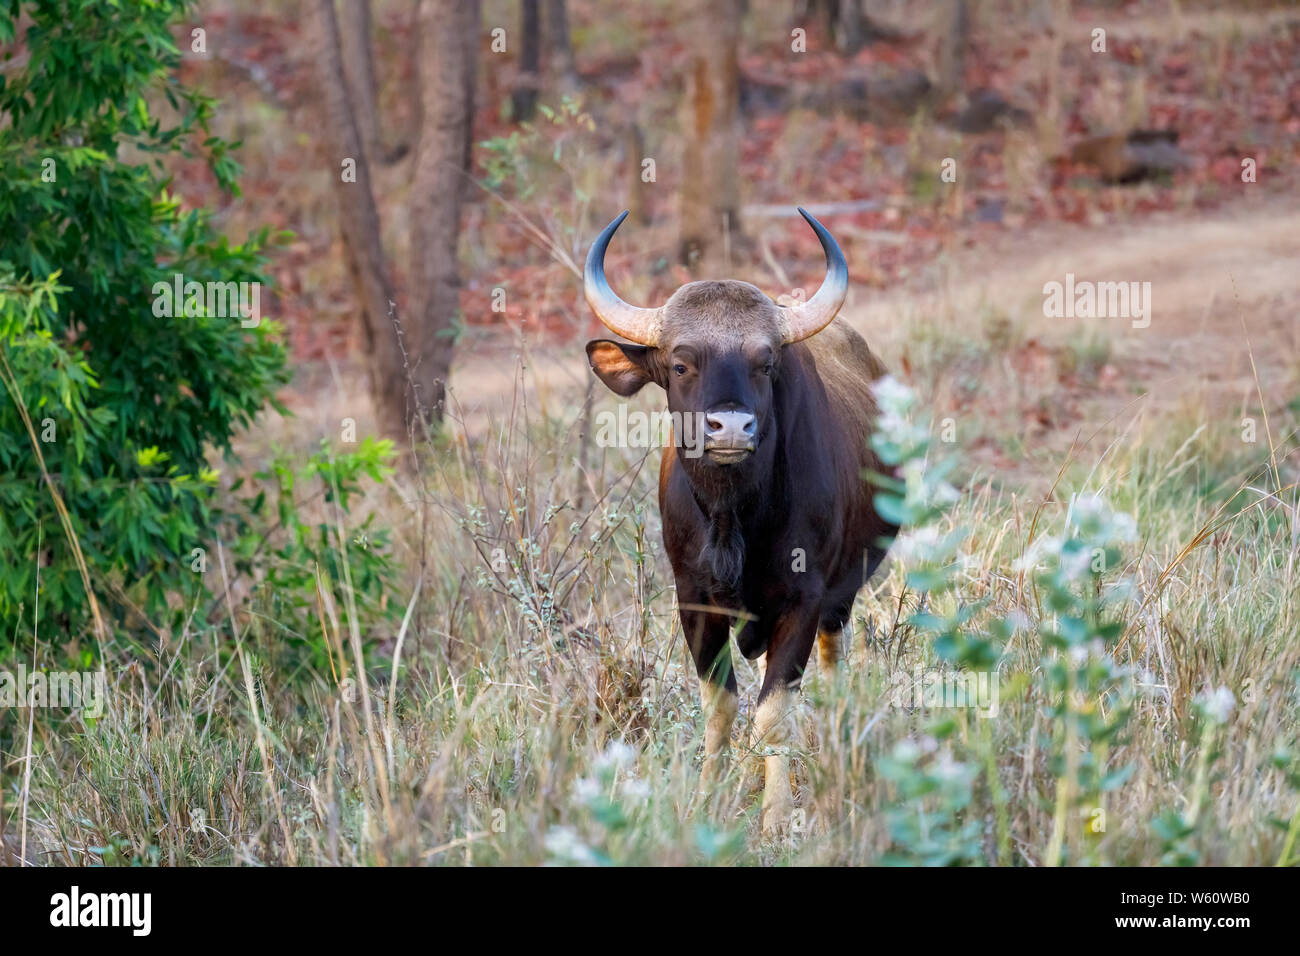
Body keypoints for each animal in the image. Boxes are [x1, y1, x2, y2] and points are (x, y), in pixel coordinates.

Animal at [585, 208, 889, 832]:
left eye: (765, 362)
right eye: (680, 363)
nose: (730, 428)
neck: (734, 520)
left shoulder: (803, 599)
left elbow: (773, 712)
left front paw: (776, 816)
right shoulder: (693, 601)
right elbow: (721, 703)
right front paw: (709, 797)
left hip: (841, 594)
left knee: (833, 660)